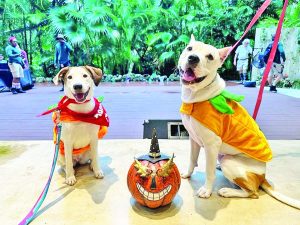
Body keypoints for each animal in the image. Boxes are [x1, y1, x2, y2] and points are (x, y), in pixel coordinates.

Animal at [177, 35, 298, 209]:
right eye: (190, 49)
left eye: (210, 57)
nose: (193, 58)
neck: (197, 96)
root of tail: (263, 176)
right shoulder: (193, 139)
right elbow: (192, 160)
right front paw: (187, 174)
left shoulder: (212, 145)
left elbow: (209, 172)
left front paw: (207, 190)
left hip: (229, 161)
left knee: (252, 193)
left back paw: (227, 191)